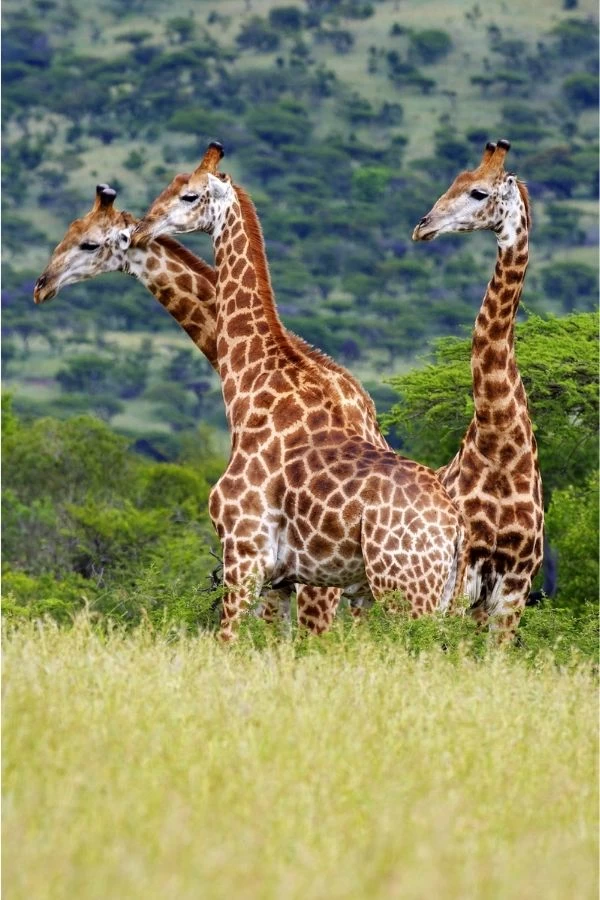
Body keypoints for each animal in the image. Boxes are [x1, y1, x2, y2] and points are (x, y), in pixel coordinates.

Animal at [132, 142, 467, 642]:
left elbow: (227, 641)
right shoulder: (283, 575)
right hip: (438, 594)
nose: (140, 229)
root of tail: (454, 527)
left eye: (190, 195)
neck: (252, 387)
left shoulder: (244, 551)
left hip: (405, 589)